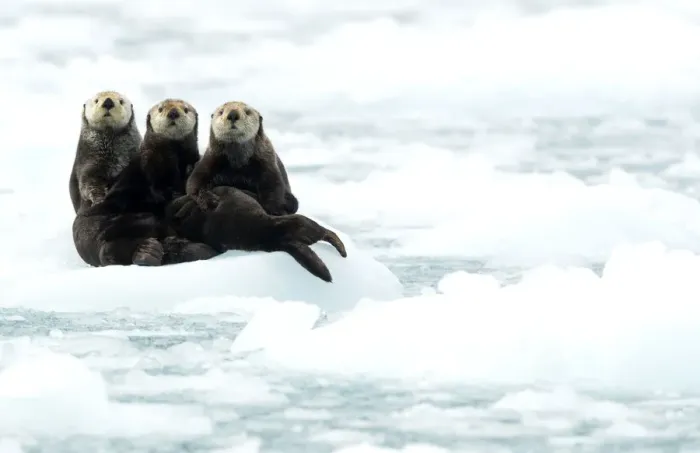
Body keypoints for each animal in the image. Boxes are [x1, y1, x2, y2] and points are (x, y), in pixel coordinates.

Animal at [72, 97, 219, 267]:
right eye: (161, 109)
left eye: (185, 109)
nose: (173, 113)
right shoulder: (149, 162)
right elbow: (150, 185)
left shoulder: (189, 159)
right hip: (95, 230)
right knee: (109, 248)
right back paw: (147, 250)